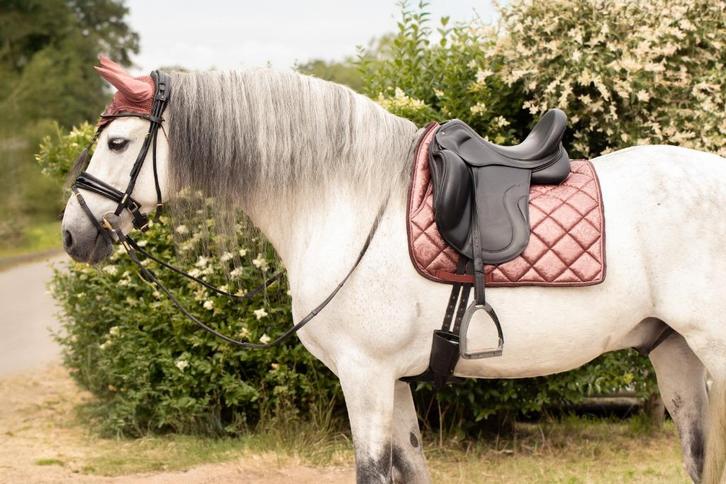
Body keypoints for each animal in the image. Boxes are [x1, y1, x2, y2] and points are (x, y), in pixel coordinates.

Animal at [60, 61, 726, 483]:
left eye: (117, 143)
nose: (73, 232)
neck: (345, 202)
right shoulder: (395, 384)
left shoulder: (366, 377)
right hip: (674, 353)